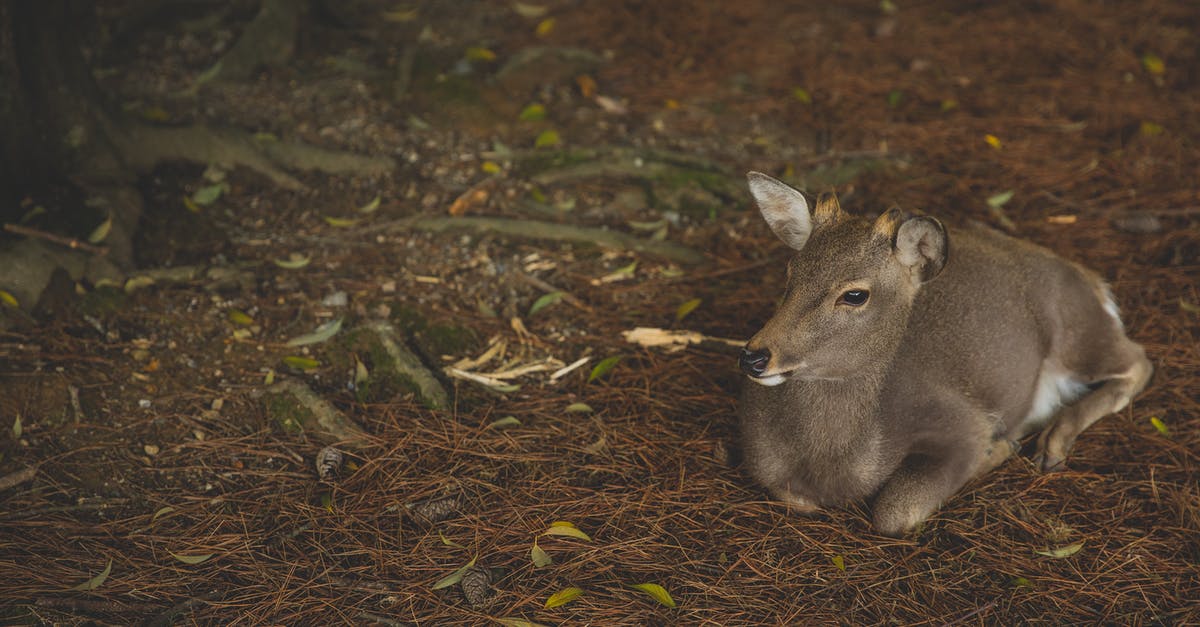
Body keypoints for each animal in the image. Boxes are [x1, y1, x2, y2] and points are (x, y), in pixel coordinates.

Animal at [734, 169, 1156, 530]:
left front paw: (996, 449)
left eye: (855, 294)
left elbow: (894, 512)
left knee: (1139, 361)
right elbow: (793, 498)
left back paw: (1051, 442)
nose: (754, 356)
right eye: (791, 273)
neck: (836, 467)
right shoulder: (763, 465)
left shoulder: (960, 421)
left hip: (1076, 332)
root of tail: (1091, 279)